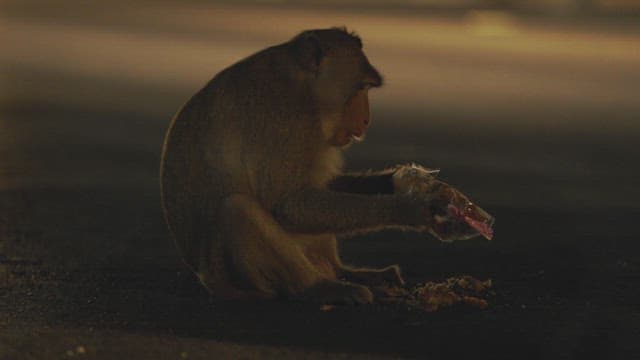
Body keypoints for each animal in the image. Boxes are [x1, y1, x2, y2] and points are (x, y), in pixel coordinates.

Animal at [161, 27, 480, 304]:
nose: (367, 120)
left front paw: (404, 181)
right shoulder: (289, 123)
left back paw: (349, 273)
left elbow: (319, 187)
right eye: (362, 87)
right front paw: (412, 209)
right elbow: (289, 204)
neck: (305, 87)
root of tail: (204, 280)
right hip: (228, 277)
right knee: (237, 208)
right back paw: (319, 287)